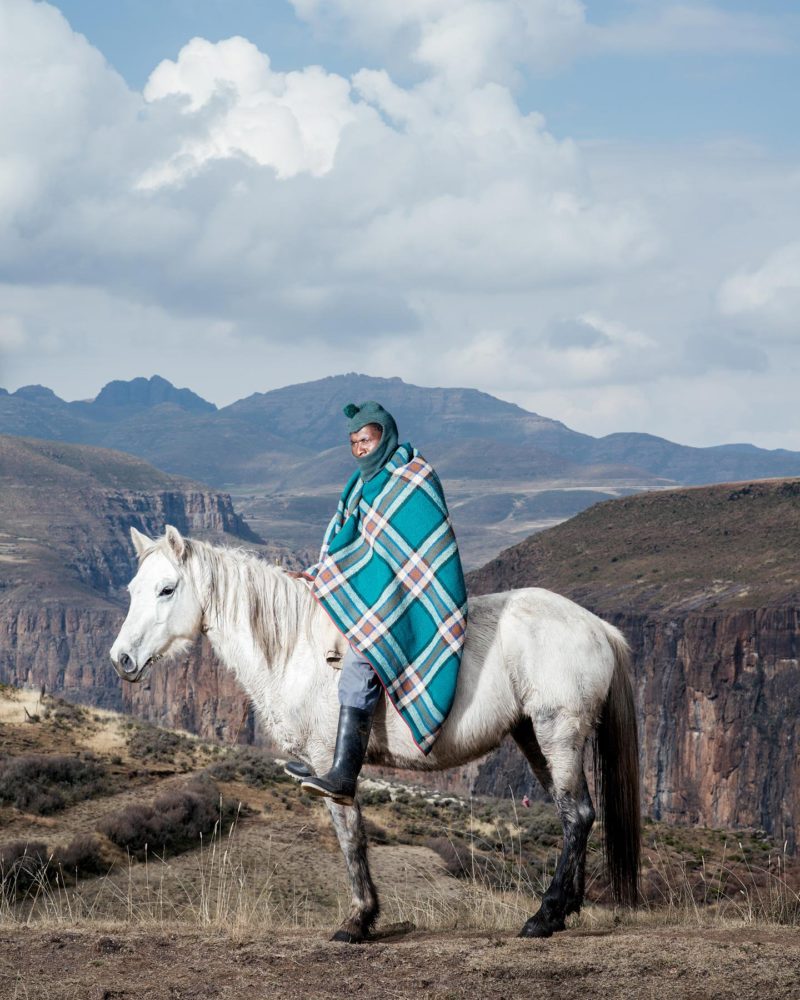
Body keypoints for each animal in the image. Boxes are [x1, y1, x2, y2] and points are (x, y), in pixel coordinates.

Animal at [109, 528, 640, 940]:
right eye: (133, 588)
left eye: (167, 589)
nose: (122, 660)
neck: (295, 648)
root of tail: (599, 628)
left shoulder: (328, 762)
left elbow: (350, 834)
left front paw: (359, 921)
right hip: (535, 737)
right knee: (577, 815)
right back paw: (564, 910)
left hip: (559, 732)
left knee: (576, 815)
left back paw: (544, 916)